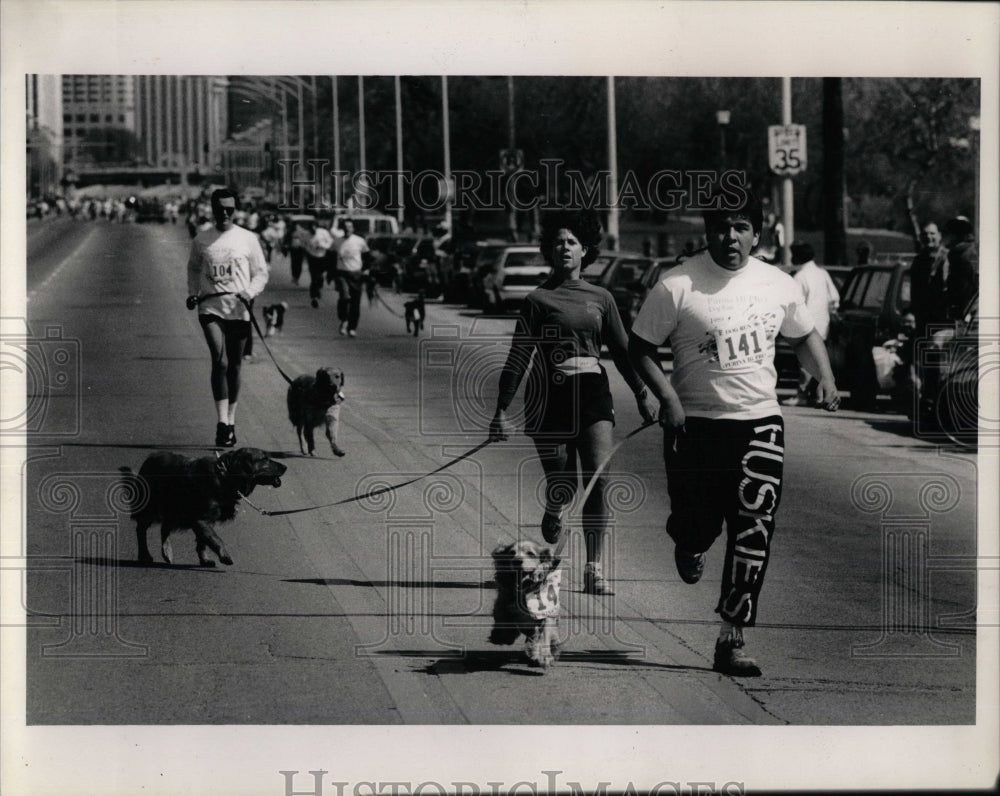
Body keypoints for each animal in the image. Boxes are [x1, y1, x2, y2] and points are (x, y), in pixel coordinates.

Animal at [121, 448, 288, 564]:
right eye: (264, 459)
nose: (285, 467)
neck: (224, 476)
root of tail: (150, 458)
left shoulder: (207, 520)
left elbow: (203, 541)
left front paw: (204, 559)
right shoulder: (200, 519)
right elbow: (216, 538)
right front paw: (224, 555)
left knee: (164, 529)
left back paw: (167, 551)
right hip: (150, 508)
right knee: (141, 530)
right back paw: (144, 554)